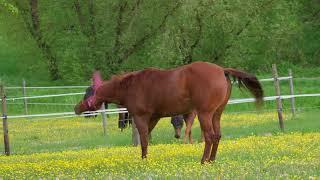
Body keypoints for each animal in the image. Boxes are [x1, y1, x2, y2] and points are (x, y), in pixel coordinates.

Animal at [74, 61, 262, 164]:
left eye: (88, 94)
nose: (76, 108)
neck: (130, 86)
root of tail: (222, 70)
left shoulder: (140, 117)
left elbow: (143, 140)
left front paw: (143, 160)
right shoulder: (154, 118)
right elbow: (146, 139)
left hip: (205, 114)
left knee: (209, 137)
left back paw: (203, 161)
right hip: (216, 114)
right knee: (217, 136)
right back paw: (212, 160)